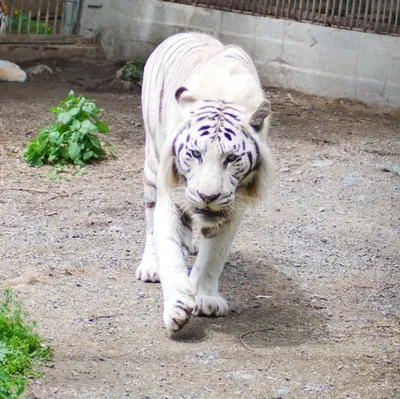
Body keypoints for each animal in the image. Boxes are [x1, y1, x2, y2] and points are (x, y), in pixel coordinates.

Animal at [136, 32, 274, 336]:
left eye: (231, 158)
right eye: (196, 154)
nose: (207, 196)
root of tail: (187, 32)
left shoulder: (234, 206)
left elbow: (213, 256)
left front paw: (207, 299)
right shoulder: (171, 191)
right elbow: (170, 249)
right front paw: (176, 307)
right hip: (151, 166)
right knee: (151, 223)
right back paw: (150, 266)